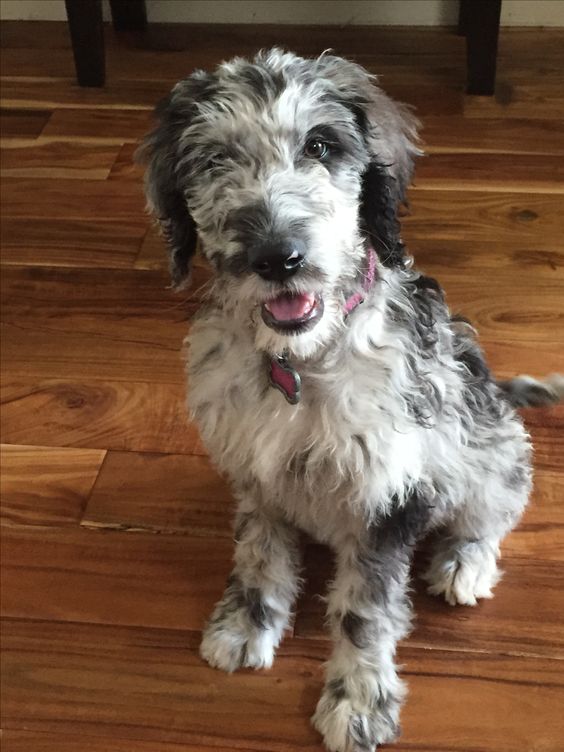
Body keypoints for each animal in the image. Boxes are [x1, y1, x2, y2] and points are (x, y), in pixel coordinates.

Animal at [139, 48, 560, 752]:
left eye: (321, 145)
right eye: (215, 159)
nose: (278, 257)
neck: (302, 364)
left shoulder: (390, 493)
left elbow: (366, 608)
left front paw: (358, 697)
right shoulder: (253, 468)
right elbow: (258, 551)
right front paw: (247, 623)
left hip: (490, 446)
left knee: (493, 510)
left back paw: (464, 563)